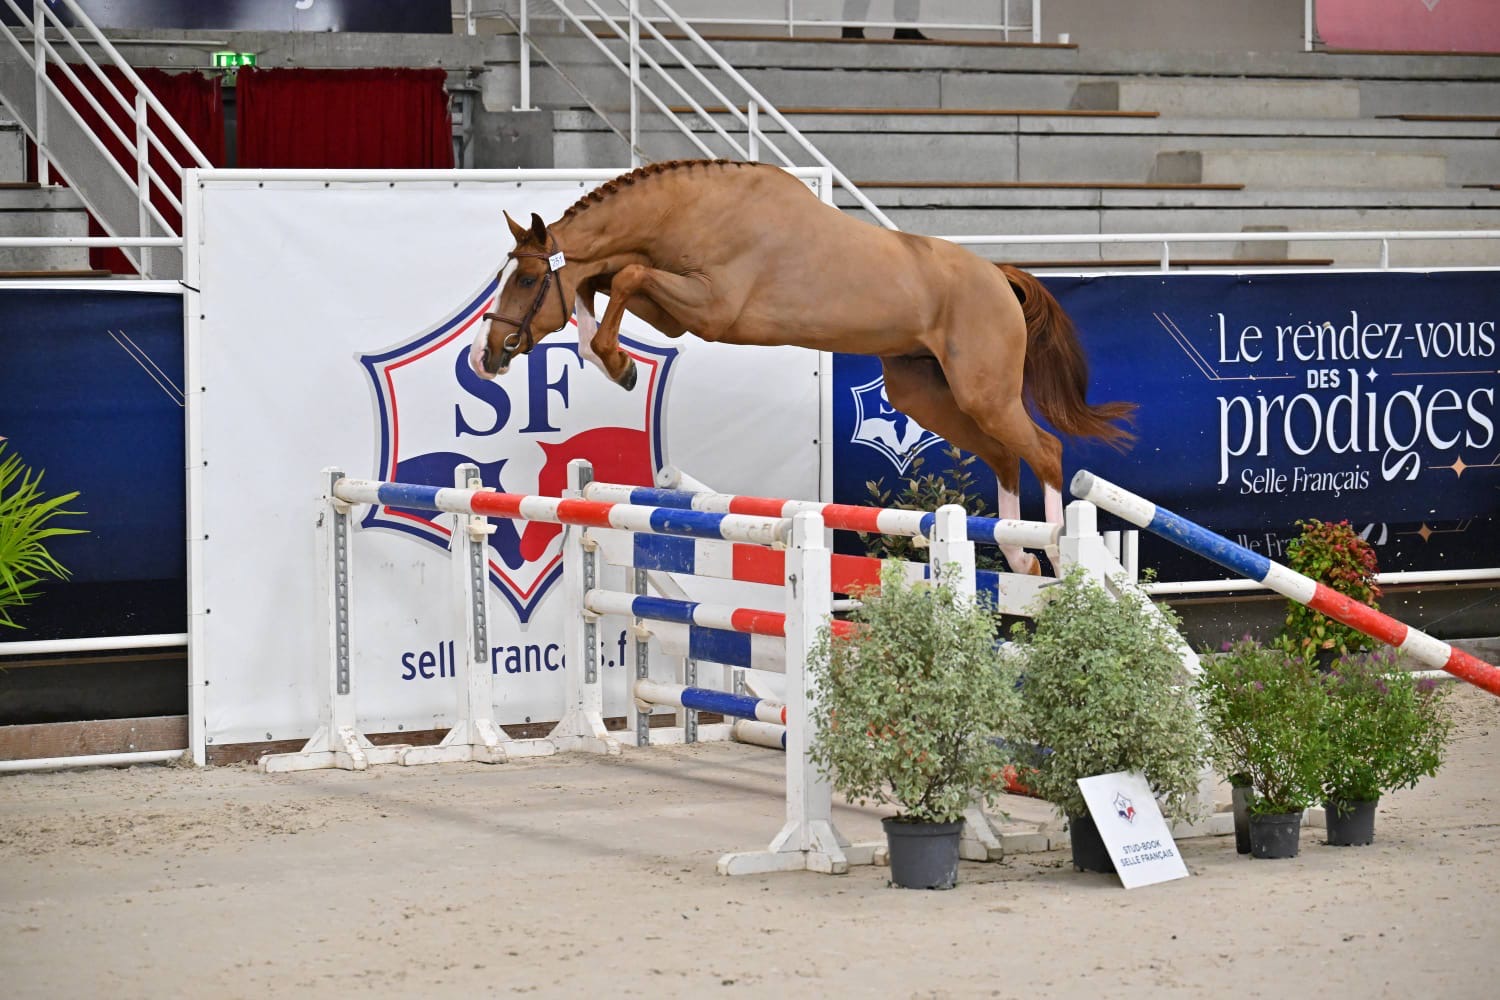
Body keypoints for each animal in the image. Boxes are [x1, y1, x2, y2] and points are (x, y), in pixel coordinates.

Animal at [471, 158, 1135, 573]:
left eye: (525, 279)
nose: (486, 356)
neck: (688, 212)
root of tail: (1000, 276)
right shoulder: (677, 312)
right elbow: (605, 278)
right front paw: (607, 357)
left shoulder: (711, 308)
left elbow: (625, 274)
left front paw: (617, 363)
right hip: (926, 393)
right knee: (1002, 456)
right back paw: (1019, 555)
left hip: (982, 392)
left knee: (1044, 449)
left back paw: (1056, 551)